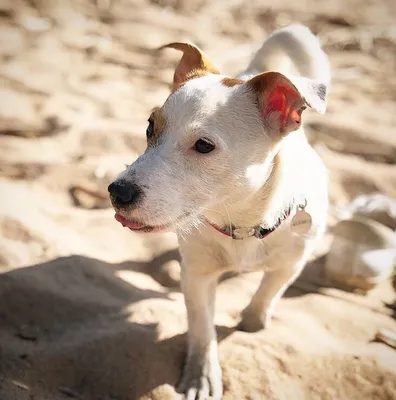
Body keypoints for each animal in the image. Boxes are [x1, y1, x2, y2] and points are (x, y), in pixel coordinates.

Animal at [109, 23, 332, 398]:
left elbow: (267, 294)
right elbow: (202, 329)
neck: (242, 225)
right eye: (150, 127)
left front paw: (253, 322)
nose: (117, 192)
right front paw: (201, 375)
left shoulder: (291, 263)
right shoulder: (197, 276)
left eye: (204, 146)